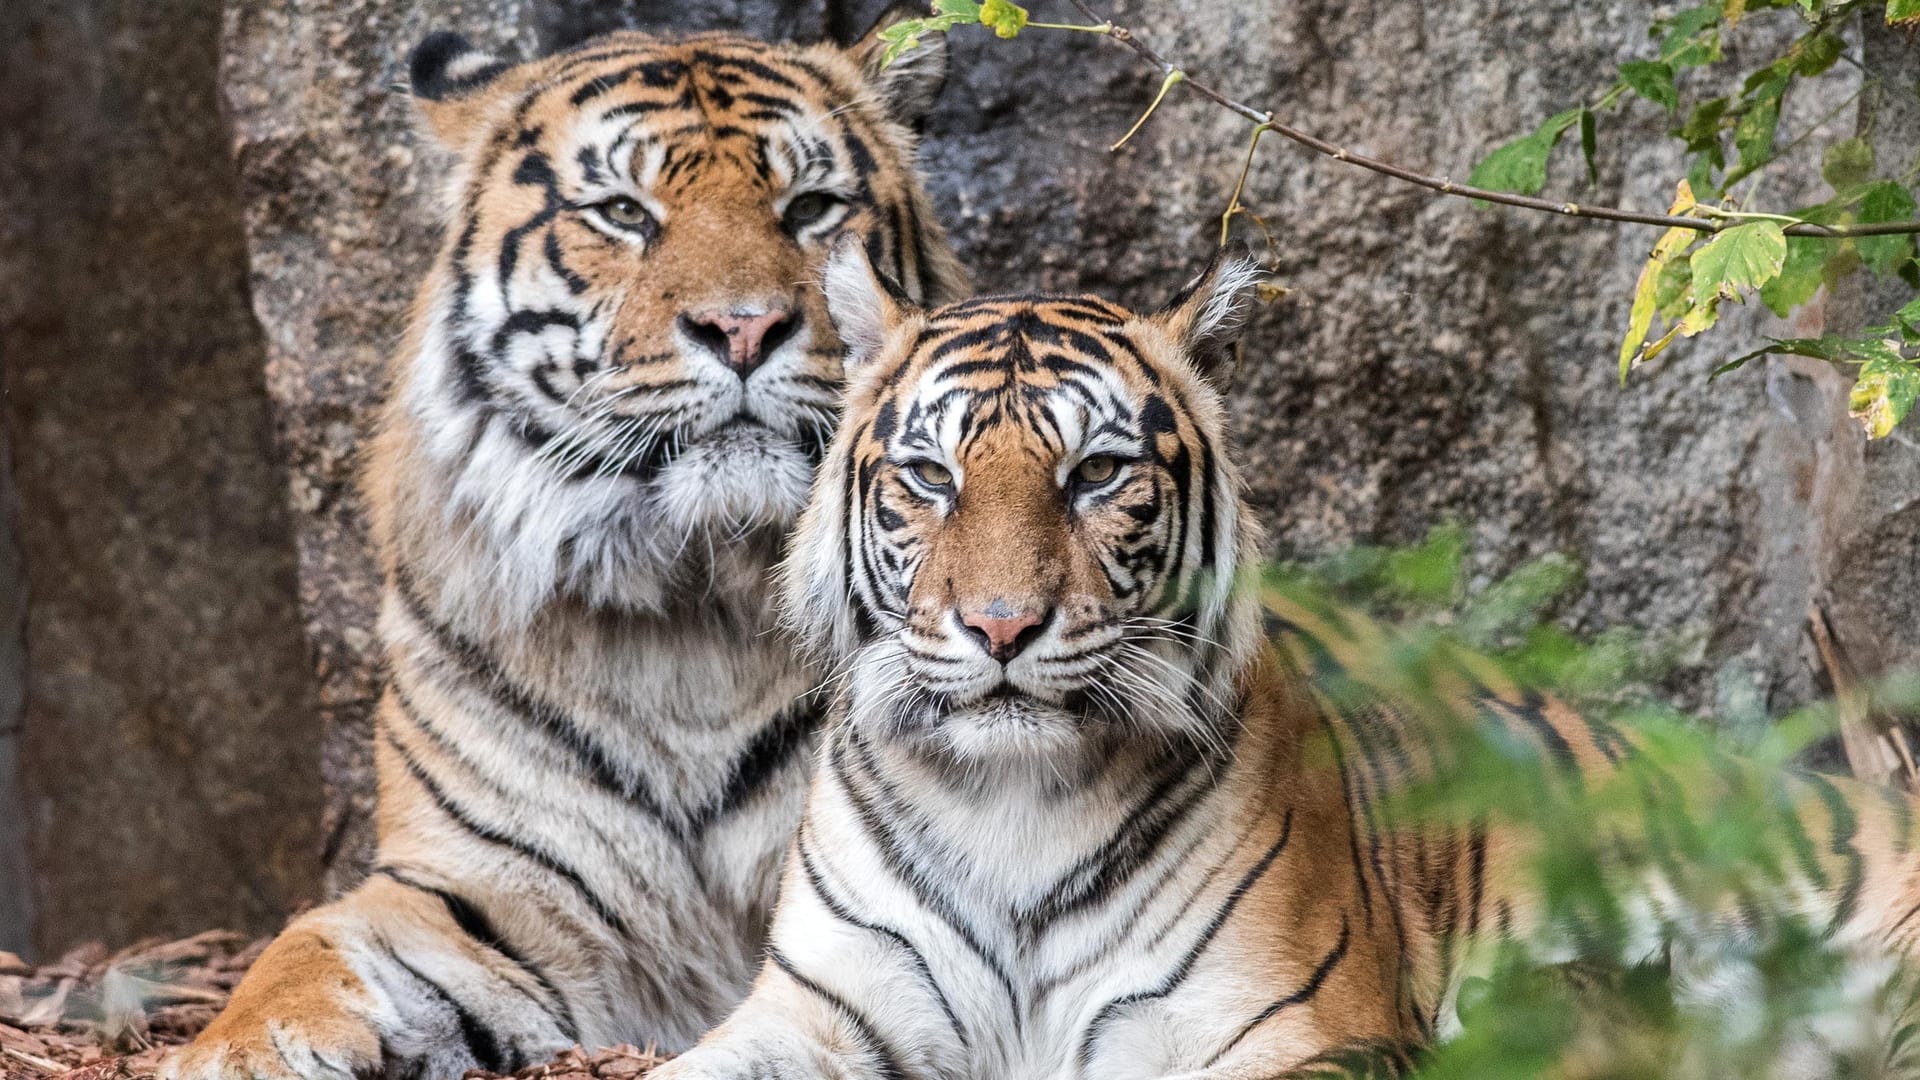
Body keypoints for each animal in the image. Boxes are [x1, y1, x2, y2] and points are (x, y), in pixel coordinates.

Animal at [163, 18, 967, 1076]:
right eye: (624, 212)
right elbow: (306, 942)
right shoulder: (476, 882)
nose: (744, 327)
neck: (696, 608)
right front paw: (242, 1050)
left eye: (812, 208)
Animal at [648, 245, 1920, 1076]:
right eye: (931, 477)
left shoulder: (1298, 1028)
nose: (1002, 628)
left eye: (1095, 475)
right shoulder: (814, 1012)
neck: (1009, 804)